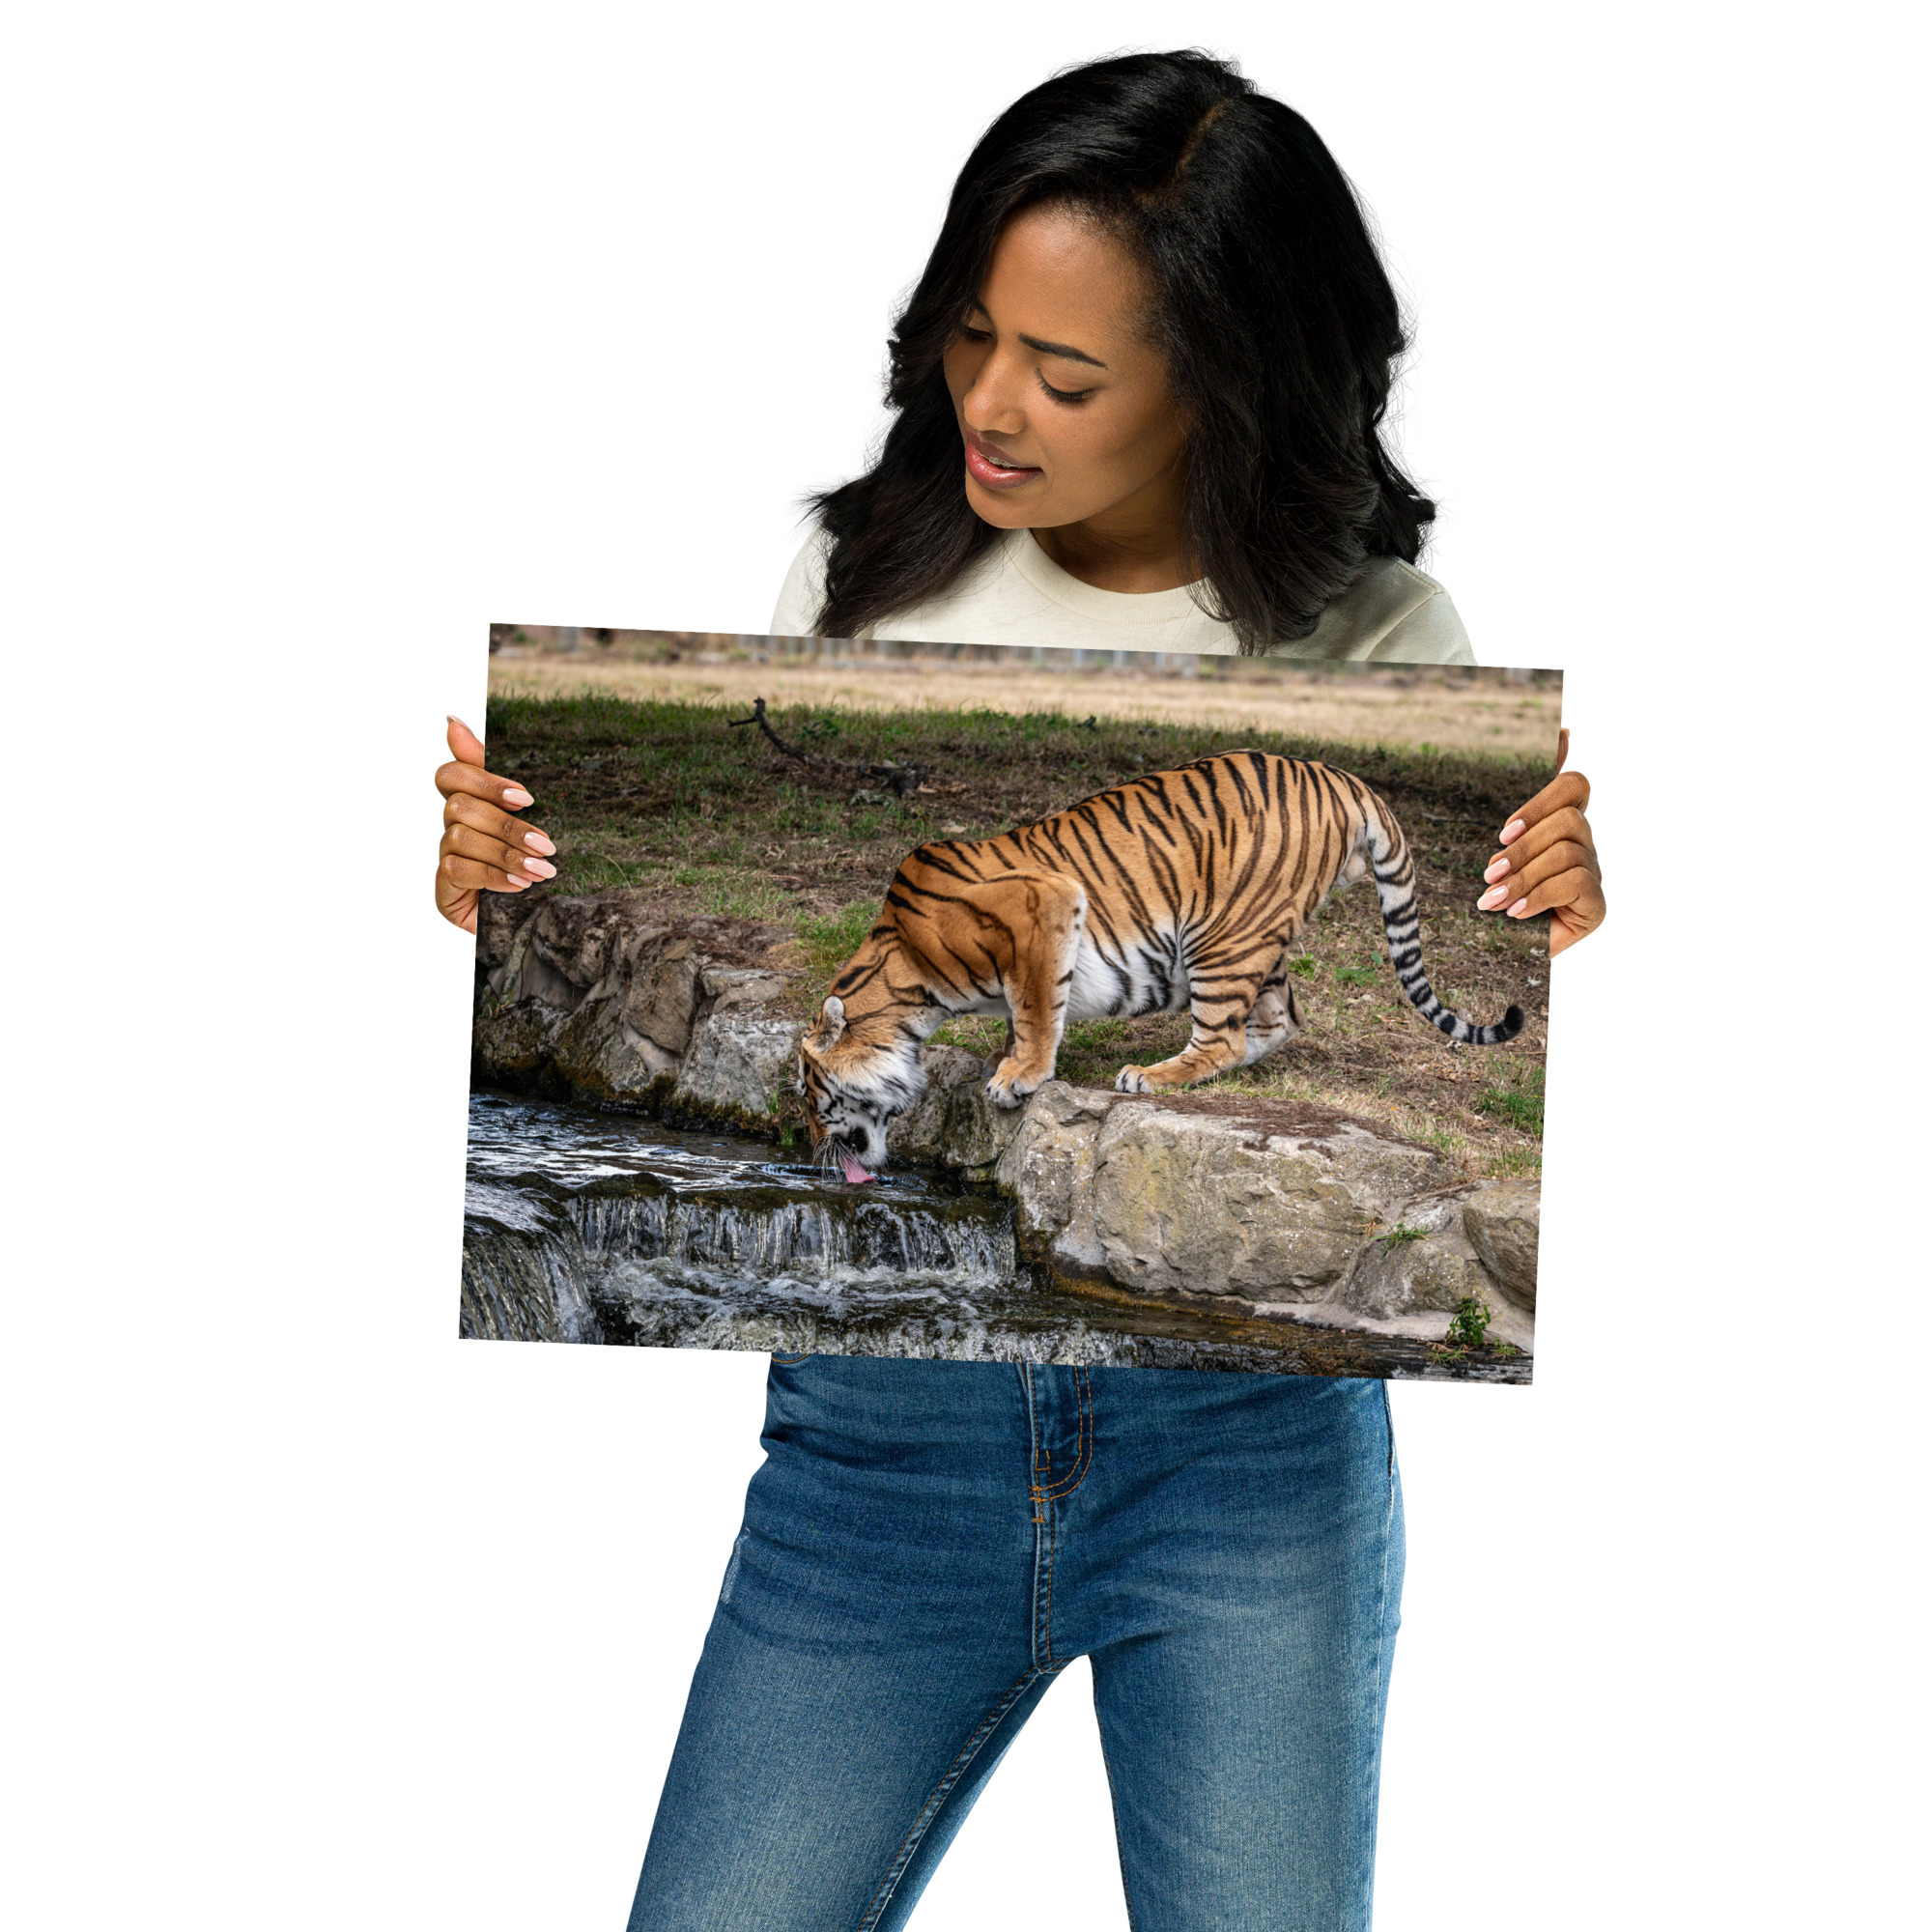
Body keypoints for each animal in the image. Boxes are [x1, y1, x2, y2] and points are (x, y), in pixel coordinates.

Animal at [797, 750, 1524, 1182]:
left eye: (810, 1094)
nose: (811, 1148)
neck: (905, 978)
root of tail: (1341, 777)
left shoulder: (1044, 907)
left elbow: (1036, 1009)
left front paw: (1018, 1077)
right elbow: (1027, 1012)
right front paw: (1007, 1062)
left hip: (1219, 936)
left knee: (1222, 1036)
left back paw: (1150, 1075)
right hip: (1256, 938)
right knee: (1281, 1019)